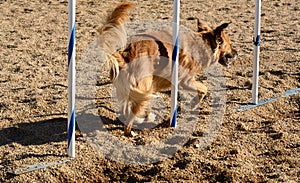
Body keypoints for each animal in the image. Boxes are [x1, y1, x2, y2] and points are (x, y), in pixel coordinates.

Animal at [97, 1, 238, 136]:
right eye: (230, 44)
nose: (237, 53)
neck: (204, 44)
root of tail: (126, 55)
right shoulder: (185, 81)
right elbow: (204, 88)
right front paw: (194, 103)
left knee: (127, 108)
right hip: (144, 87)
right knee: (130, 117)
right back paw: (131, 130)